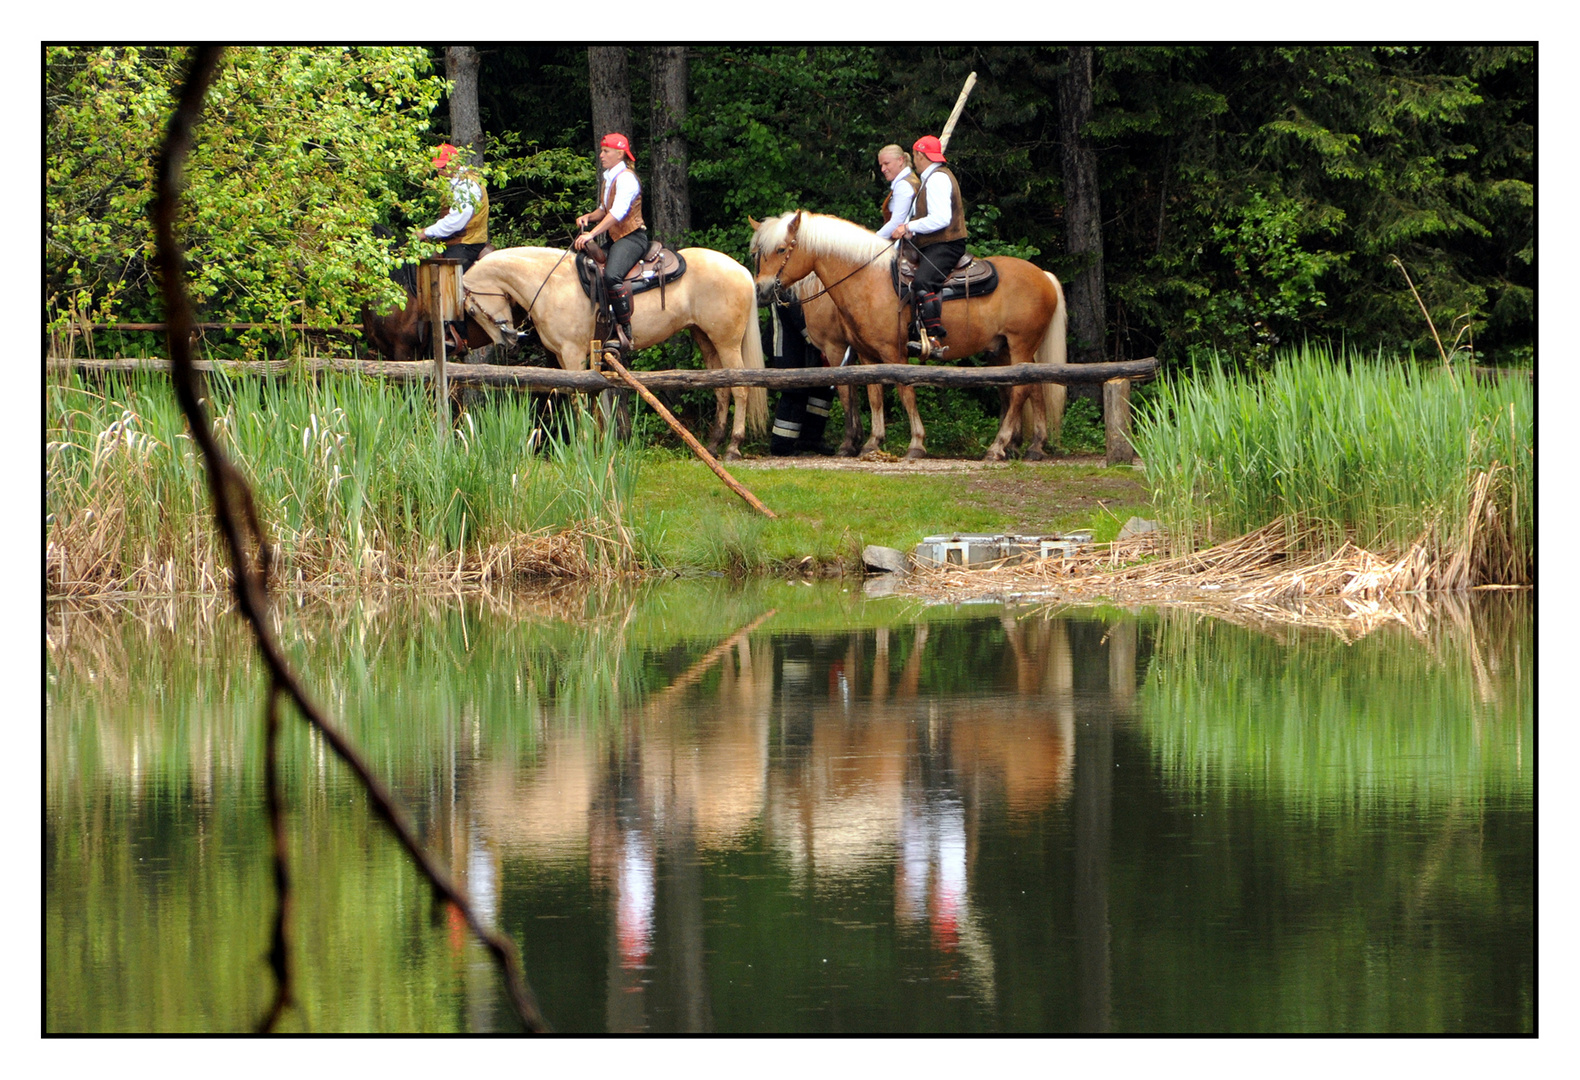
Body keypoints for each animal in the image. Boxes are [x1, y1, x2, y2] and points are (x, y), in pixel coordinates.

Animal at [745, 211, 1068, 461]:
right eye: (758, 253)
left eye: (781, 249)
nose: (761, 290)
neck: (867, 279)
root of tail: (1043, 275)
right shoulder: (867, 355)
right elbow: (874, 395)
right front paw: (871, 442)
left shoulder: (886, 352)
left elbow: (903, 393)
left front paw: (915, 443)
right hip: (1007, 350)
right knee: (1032, 387)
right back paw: (1033, 447)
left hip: (1020, 344)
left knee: (1020, 390)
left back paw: (998, 447)